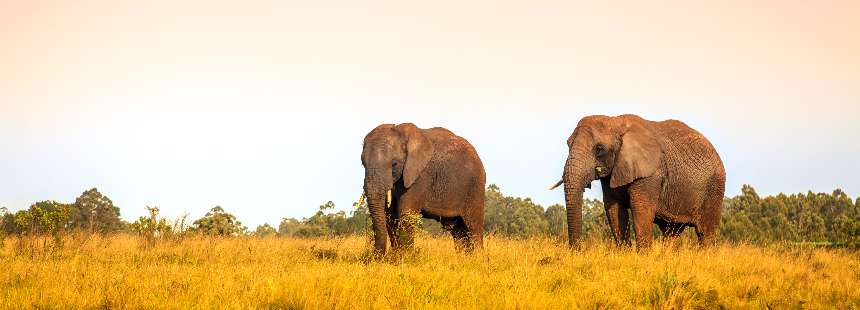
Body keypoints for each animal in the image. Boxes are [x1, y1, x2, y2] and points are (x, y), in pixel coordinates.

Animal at [362, 123, 484, 254]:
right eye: (363, 163)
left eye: (394, 164)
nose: (378, 256)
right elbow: (390, 216)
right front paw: (396, 257)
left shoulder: (419, 176)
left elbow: (406, 213)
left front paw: (405, 257)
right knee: (457, 230)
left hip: (475, 188)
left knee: (473, 228)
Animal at [552, 114, 724, 249]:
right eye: (568, 144)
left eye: (599, 149)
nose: (576, 251)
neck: (615, 122)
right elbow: (615, 211)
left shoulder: (650, 174)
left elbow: (641, 211)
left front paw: (643, 257)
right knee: (671, 233)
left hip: (715, 188)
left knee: (705, 233)